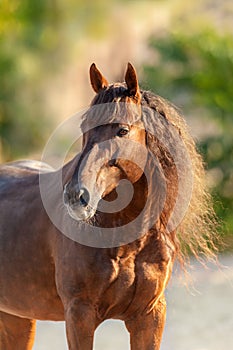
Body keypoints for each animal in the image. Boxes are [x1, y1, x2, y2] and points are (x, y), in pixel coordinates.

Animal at [0, 63, 217, 350]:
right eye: (84, 126)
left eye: (122, 131)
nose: (76, 196)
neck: (127, 244)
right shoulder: (79, 315)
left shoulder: (149, 316)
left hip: (18, 319)